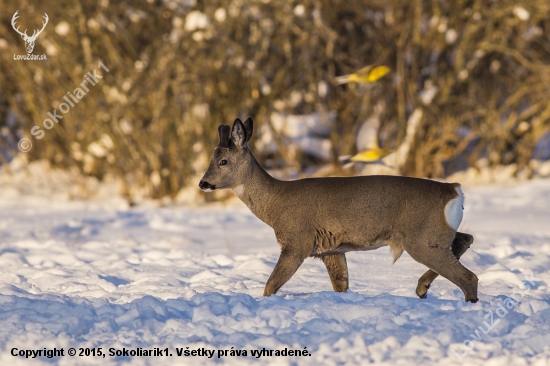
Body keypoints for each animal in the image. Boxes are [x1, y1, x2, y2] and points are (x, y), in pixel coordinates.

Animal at [201, 118, 480, 304]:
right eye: (211, 160)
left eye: (223, 161)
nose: (203, 183)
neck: (275, 203)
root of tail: (454, 190)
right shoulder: (332, 249)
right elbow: (341, 285)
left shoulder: (297, 241)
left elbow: (270, 285)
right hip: (435, 235)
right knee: (466, 239)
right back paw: (422, 288)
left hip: (423, 238)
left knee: (469, 277)